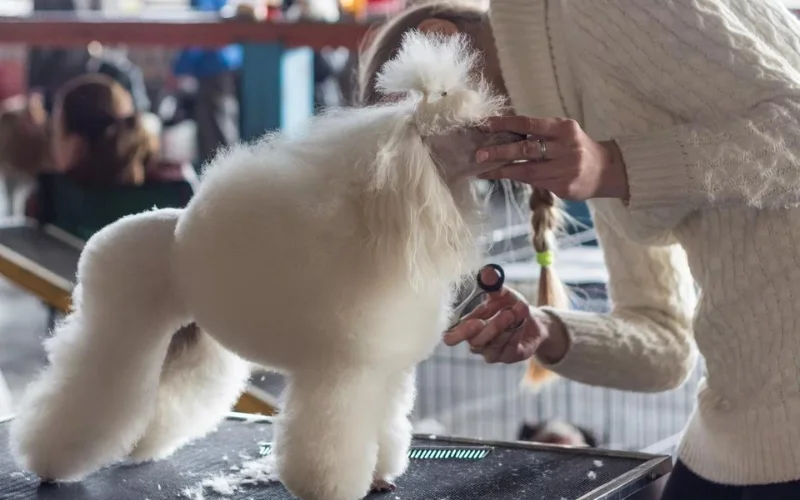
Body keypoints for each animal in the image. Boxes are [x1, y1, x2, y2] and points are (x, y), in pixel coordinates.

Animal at [9, 30, 510, 500]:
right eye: (465, 129)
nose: (510, 134)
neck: (390, 231)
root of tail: (105, 235)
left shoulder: (386, 373)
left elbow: (385, 427)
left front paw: (381, 476)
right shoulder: (342, 373)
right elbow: (332, 442)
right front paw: (332, 486)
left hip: (189, 340)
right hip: (119, 330)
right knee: (85, 394)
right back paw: (47, 461)